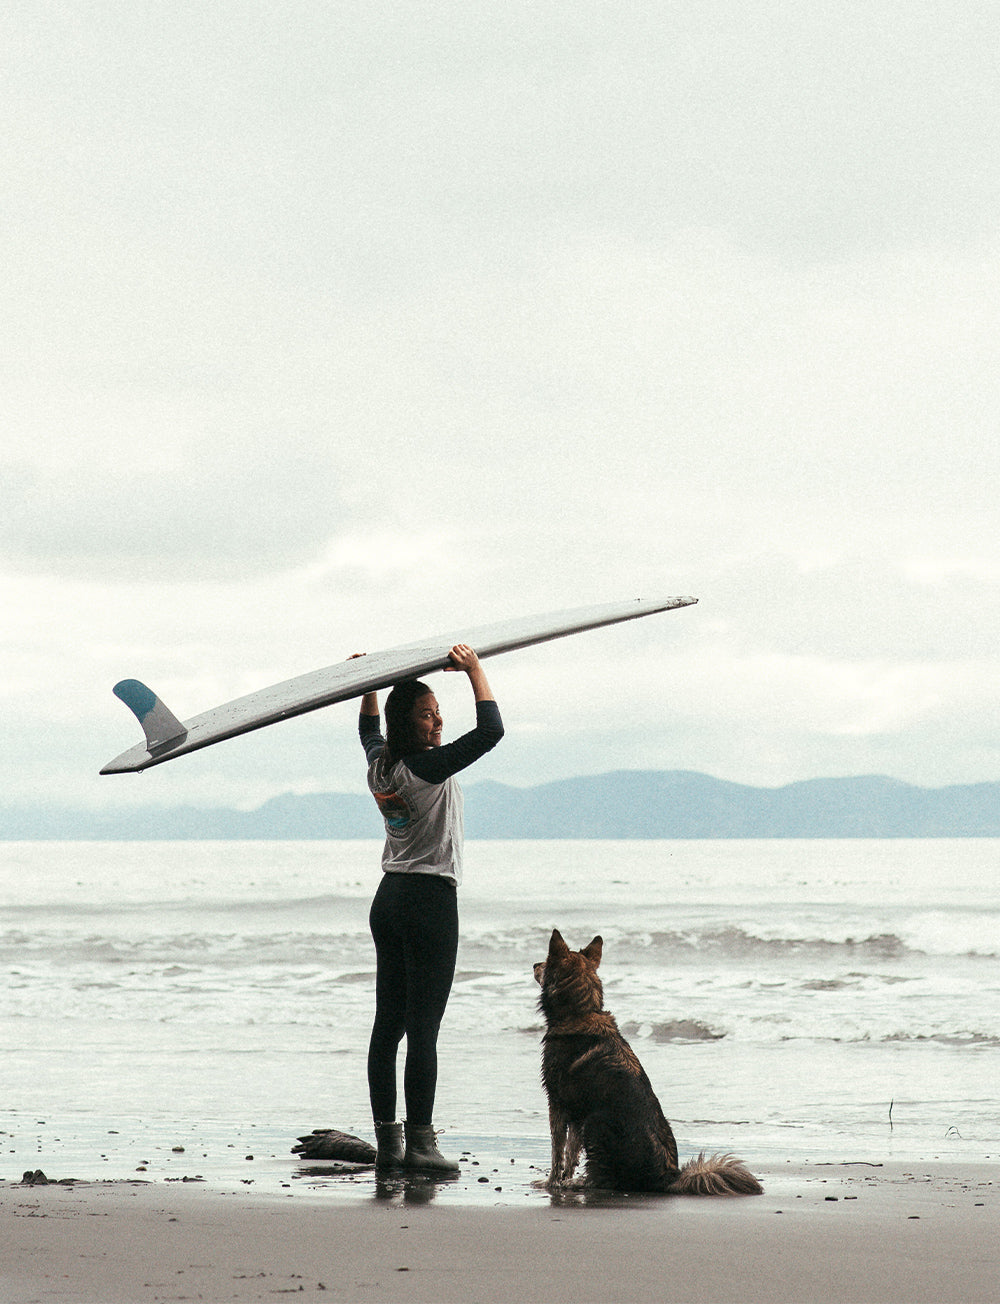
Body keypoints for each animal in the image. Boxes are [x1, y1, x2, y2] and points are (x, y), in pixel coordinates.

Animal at [537, 933, 761, 1194]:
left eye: (545, 963)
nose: (533, 965)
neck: (580, 1013)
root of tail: (667, 1179)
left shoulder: (558, 1103)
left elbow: (557, 1151)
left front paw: (552, 1181)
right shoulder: (576, 1111)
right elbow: (571, 1152)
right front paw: (562, 1177)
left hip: (595, 1122)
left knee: (605, 1178)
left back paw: (581, 1183)